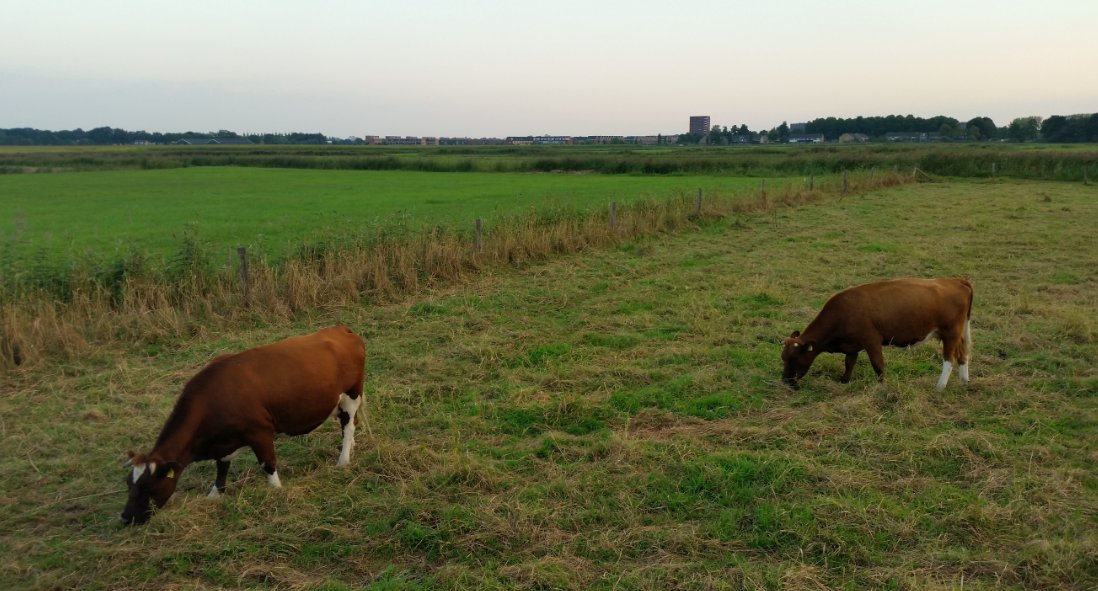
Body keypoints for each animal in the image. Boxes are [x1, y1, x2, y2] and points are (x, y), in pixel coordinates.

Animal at [120, 325, 366, 525]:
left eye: (147, 486)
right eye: (128, 484)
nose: (124, 518)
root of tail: (341, 329)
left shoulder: (260, 432)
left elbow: (268, 464)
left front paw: (276, 490)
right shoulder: (222, 443)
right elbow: (221, 469)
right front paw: (214, 495)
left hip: (351, 394)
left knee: (348, 426)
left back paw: (343, 459)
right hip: (338, 402)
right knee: (349, 423)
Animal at [781, 278, 972, 389]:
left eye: (794, 358)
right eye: (783, 358)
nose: (785, 380)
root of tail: (956, 280)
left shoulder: (871, 341)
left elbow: (878, 365)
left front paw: (881, 387)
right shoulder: (852, 346)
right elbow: (849, 363)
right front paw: (844, 380)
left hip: (950, 333)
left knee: (949, 359)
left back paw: (940, 386)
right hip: (958, 334)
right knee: (963, 354)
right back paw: (964, 381)